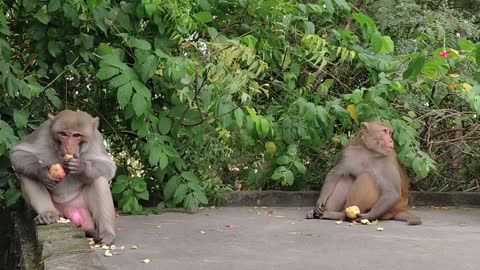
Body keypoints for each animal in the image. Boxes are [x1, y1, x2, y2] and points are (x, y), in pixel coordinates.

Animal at [10, 109, 117, 245]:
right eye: (63, 134)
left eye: (76, 135)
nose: (68, 147)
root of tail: (67, 211)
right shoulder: (43, 131)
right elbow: (18, 152)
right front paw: (42, 173)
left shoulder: (96, 138)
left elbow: (109, 166)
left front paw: (81, 167)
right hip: (55, 210)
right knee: (27, 174)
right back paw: (47, 214)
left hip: (79, 204)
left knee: (99, 179)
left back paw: (106, 233)